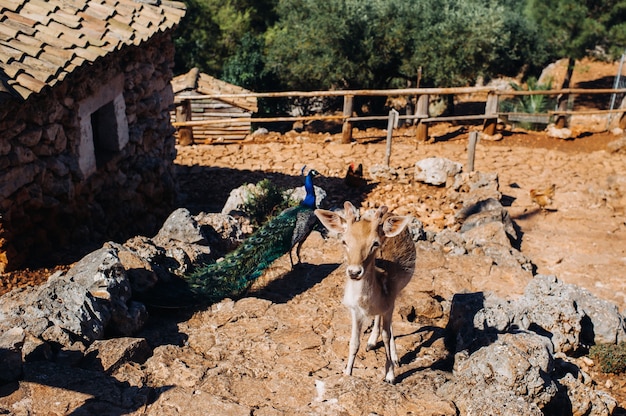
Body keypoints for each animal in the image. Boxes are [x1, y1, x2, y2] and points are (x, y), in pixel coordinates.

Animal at [312, 202, 414, 384]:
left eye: (375, 243)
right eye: (344, 241)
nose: (354, 272)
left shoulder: (390, 301)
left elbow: (386, 335)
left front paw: (390, 375)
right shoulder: (355, 310)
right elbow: (354, 342)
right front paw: (347, 374)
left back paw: (394, 357)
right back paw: (371, 342)